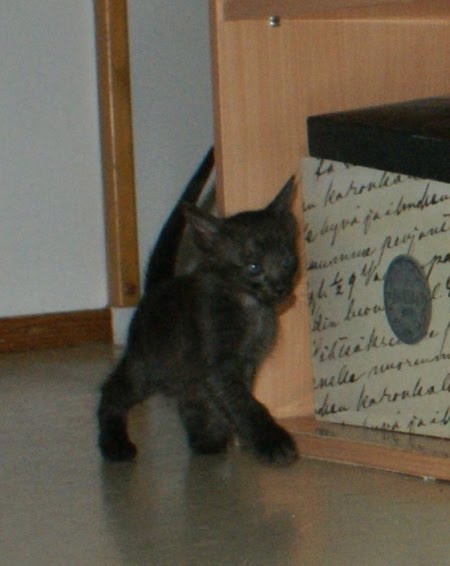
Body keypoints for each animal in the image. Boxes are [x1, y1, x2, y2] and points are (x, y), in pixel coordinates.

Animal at [98, 148, 300, 465]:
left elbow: (235, 399)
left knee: (190, 396)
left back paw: (206, 439)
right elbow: (246, 403)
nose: (280, 288)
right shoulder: (220, 364)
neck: (251, 308)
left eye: (288, 261)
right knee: (113, 390)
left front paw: (241, 436)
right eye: (254, 267)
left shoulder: (247, 363)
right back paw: (114, 445)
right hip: (147, 364)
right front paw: (272, 441)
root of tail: (155, 289)